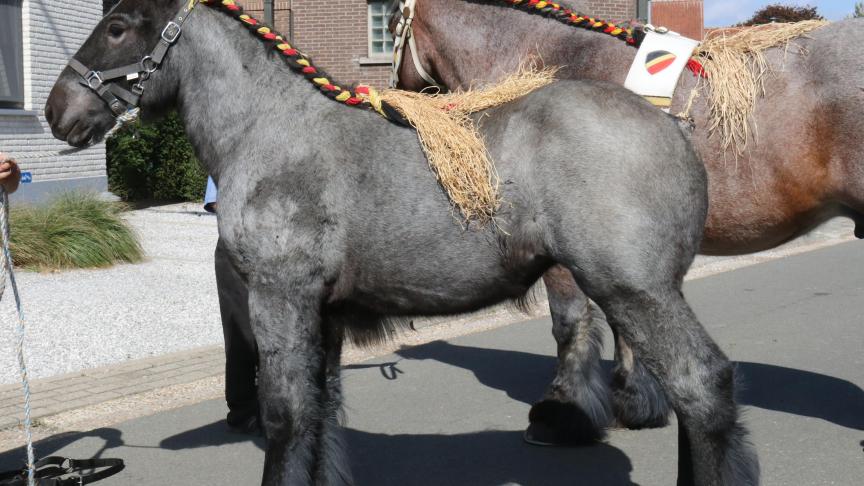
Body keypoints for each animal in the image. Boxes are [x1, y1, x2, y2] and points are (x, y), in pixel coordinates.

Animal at [390, 0, 864, 444]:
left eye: (391, 22)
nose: (396, 97)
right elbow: (625, 327)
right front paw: (637, 403)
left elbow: (570, 323)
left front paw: (561, 414)